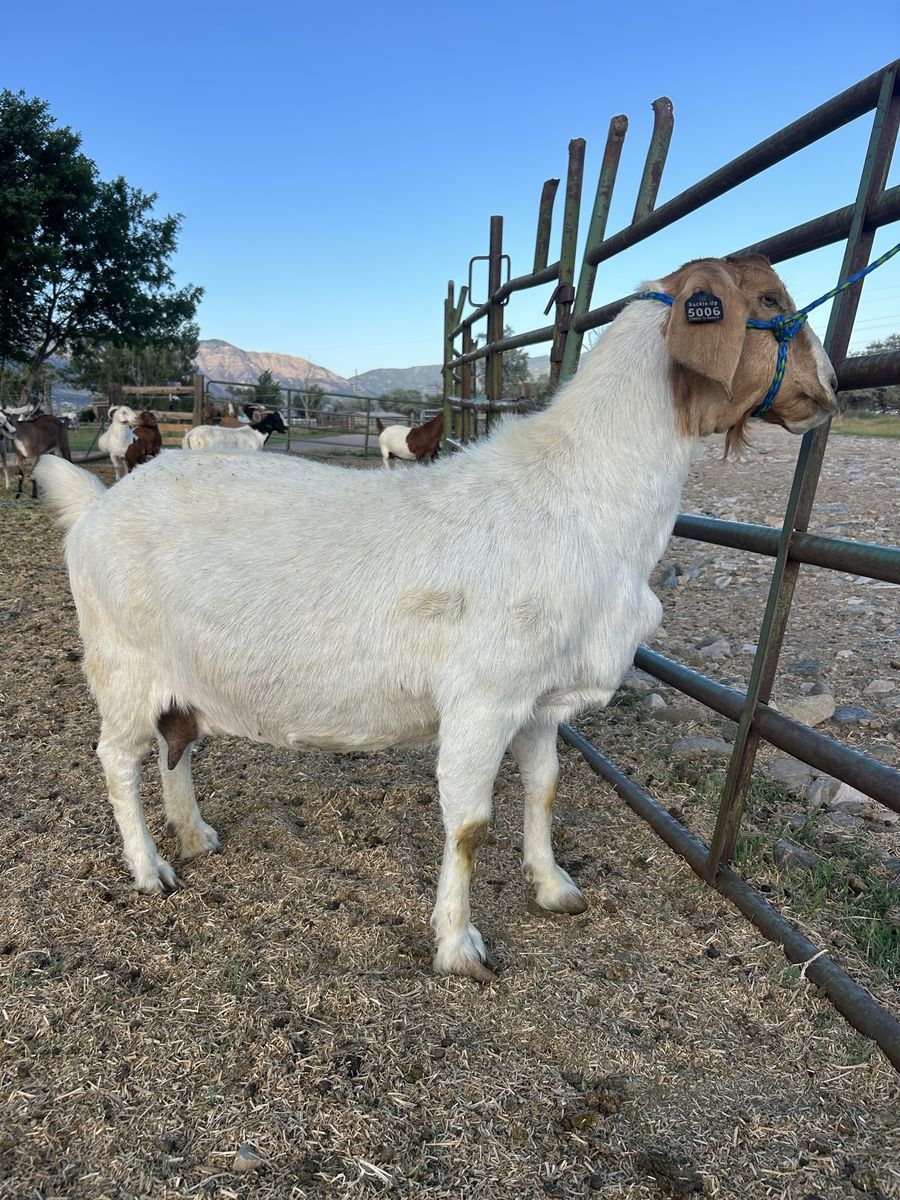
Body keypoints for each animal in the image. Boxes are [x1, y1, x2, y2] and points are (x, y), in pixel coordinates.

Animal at [36, 256, 837, 981]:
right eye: (771, 299)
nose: (827, 390)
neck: (582, 492)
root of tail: (96, 506)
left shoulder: (541, 700)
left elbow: (545, 787)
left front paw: (554, 887)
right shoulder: (483, 698)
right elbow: (470, 824)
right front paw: (459, 946)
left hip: (179, 671)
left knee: (174, 742)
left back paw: (195, 834)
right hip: (121, 663)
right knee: (116, 758)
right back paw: (149, 868)